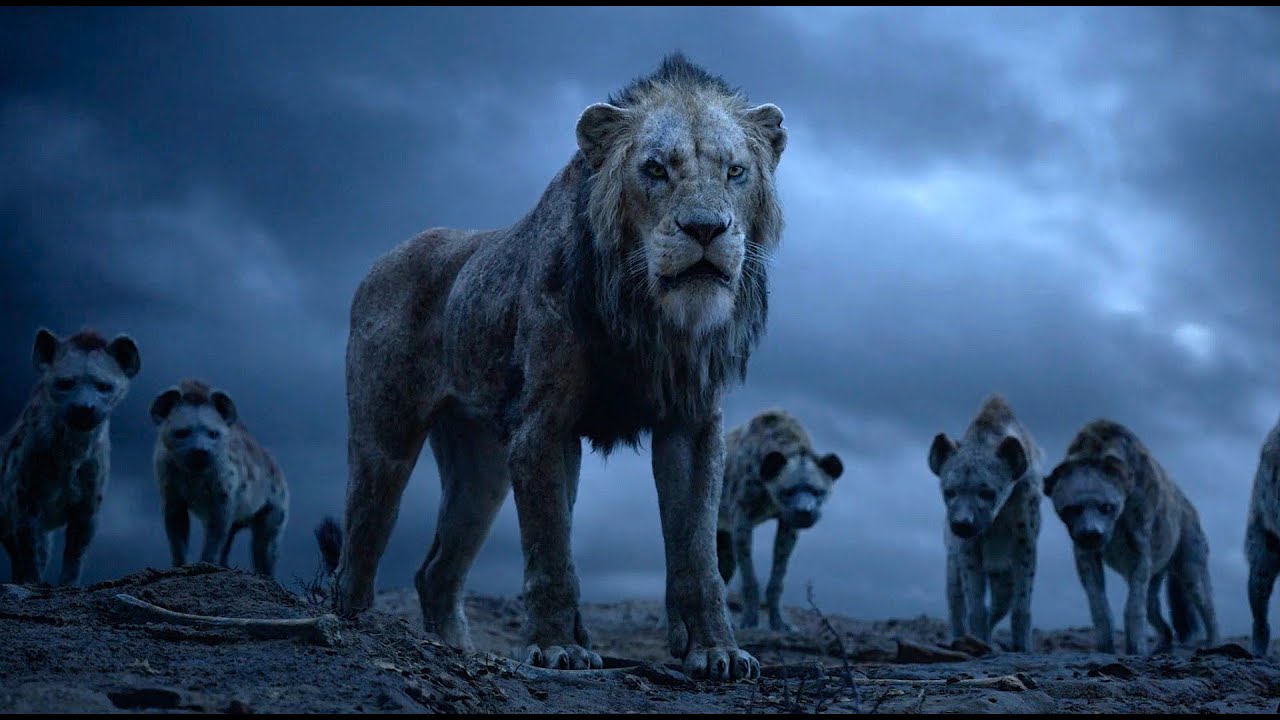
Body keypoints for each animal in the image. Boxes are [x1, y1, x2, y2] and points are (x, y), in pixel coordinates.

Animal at [318, 53, 787, 681]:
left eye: (735, 171)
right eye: (655, 169)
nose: (706, 229)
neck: (648, 315)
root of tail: (382, 259)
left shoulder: (691, 426)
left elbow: (698, 553)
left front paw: (717, 650)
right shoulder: (543, 423)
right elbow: (550, 547)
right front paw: (559, 647)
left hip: (482, 467)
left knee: (436, 570)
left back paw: (457, 650)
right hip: (384, 438)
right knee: (362, 542)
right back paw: (357, 627)